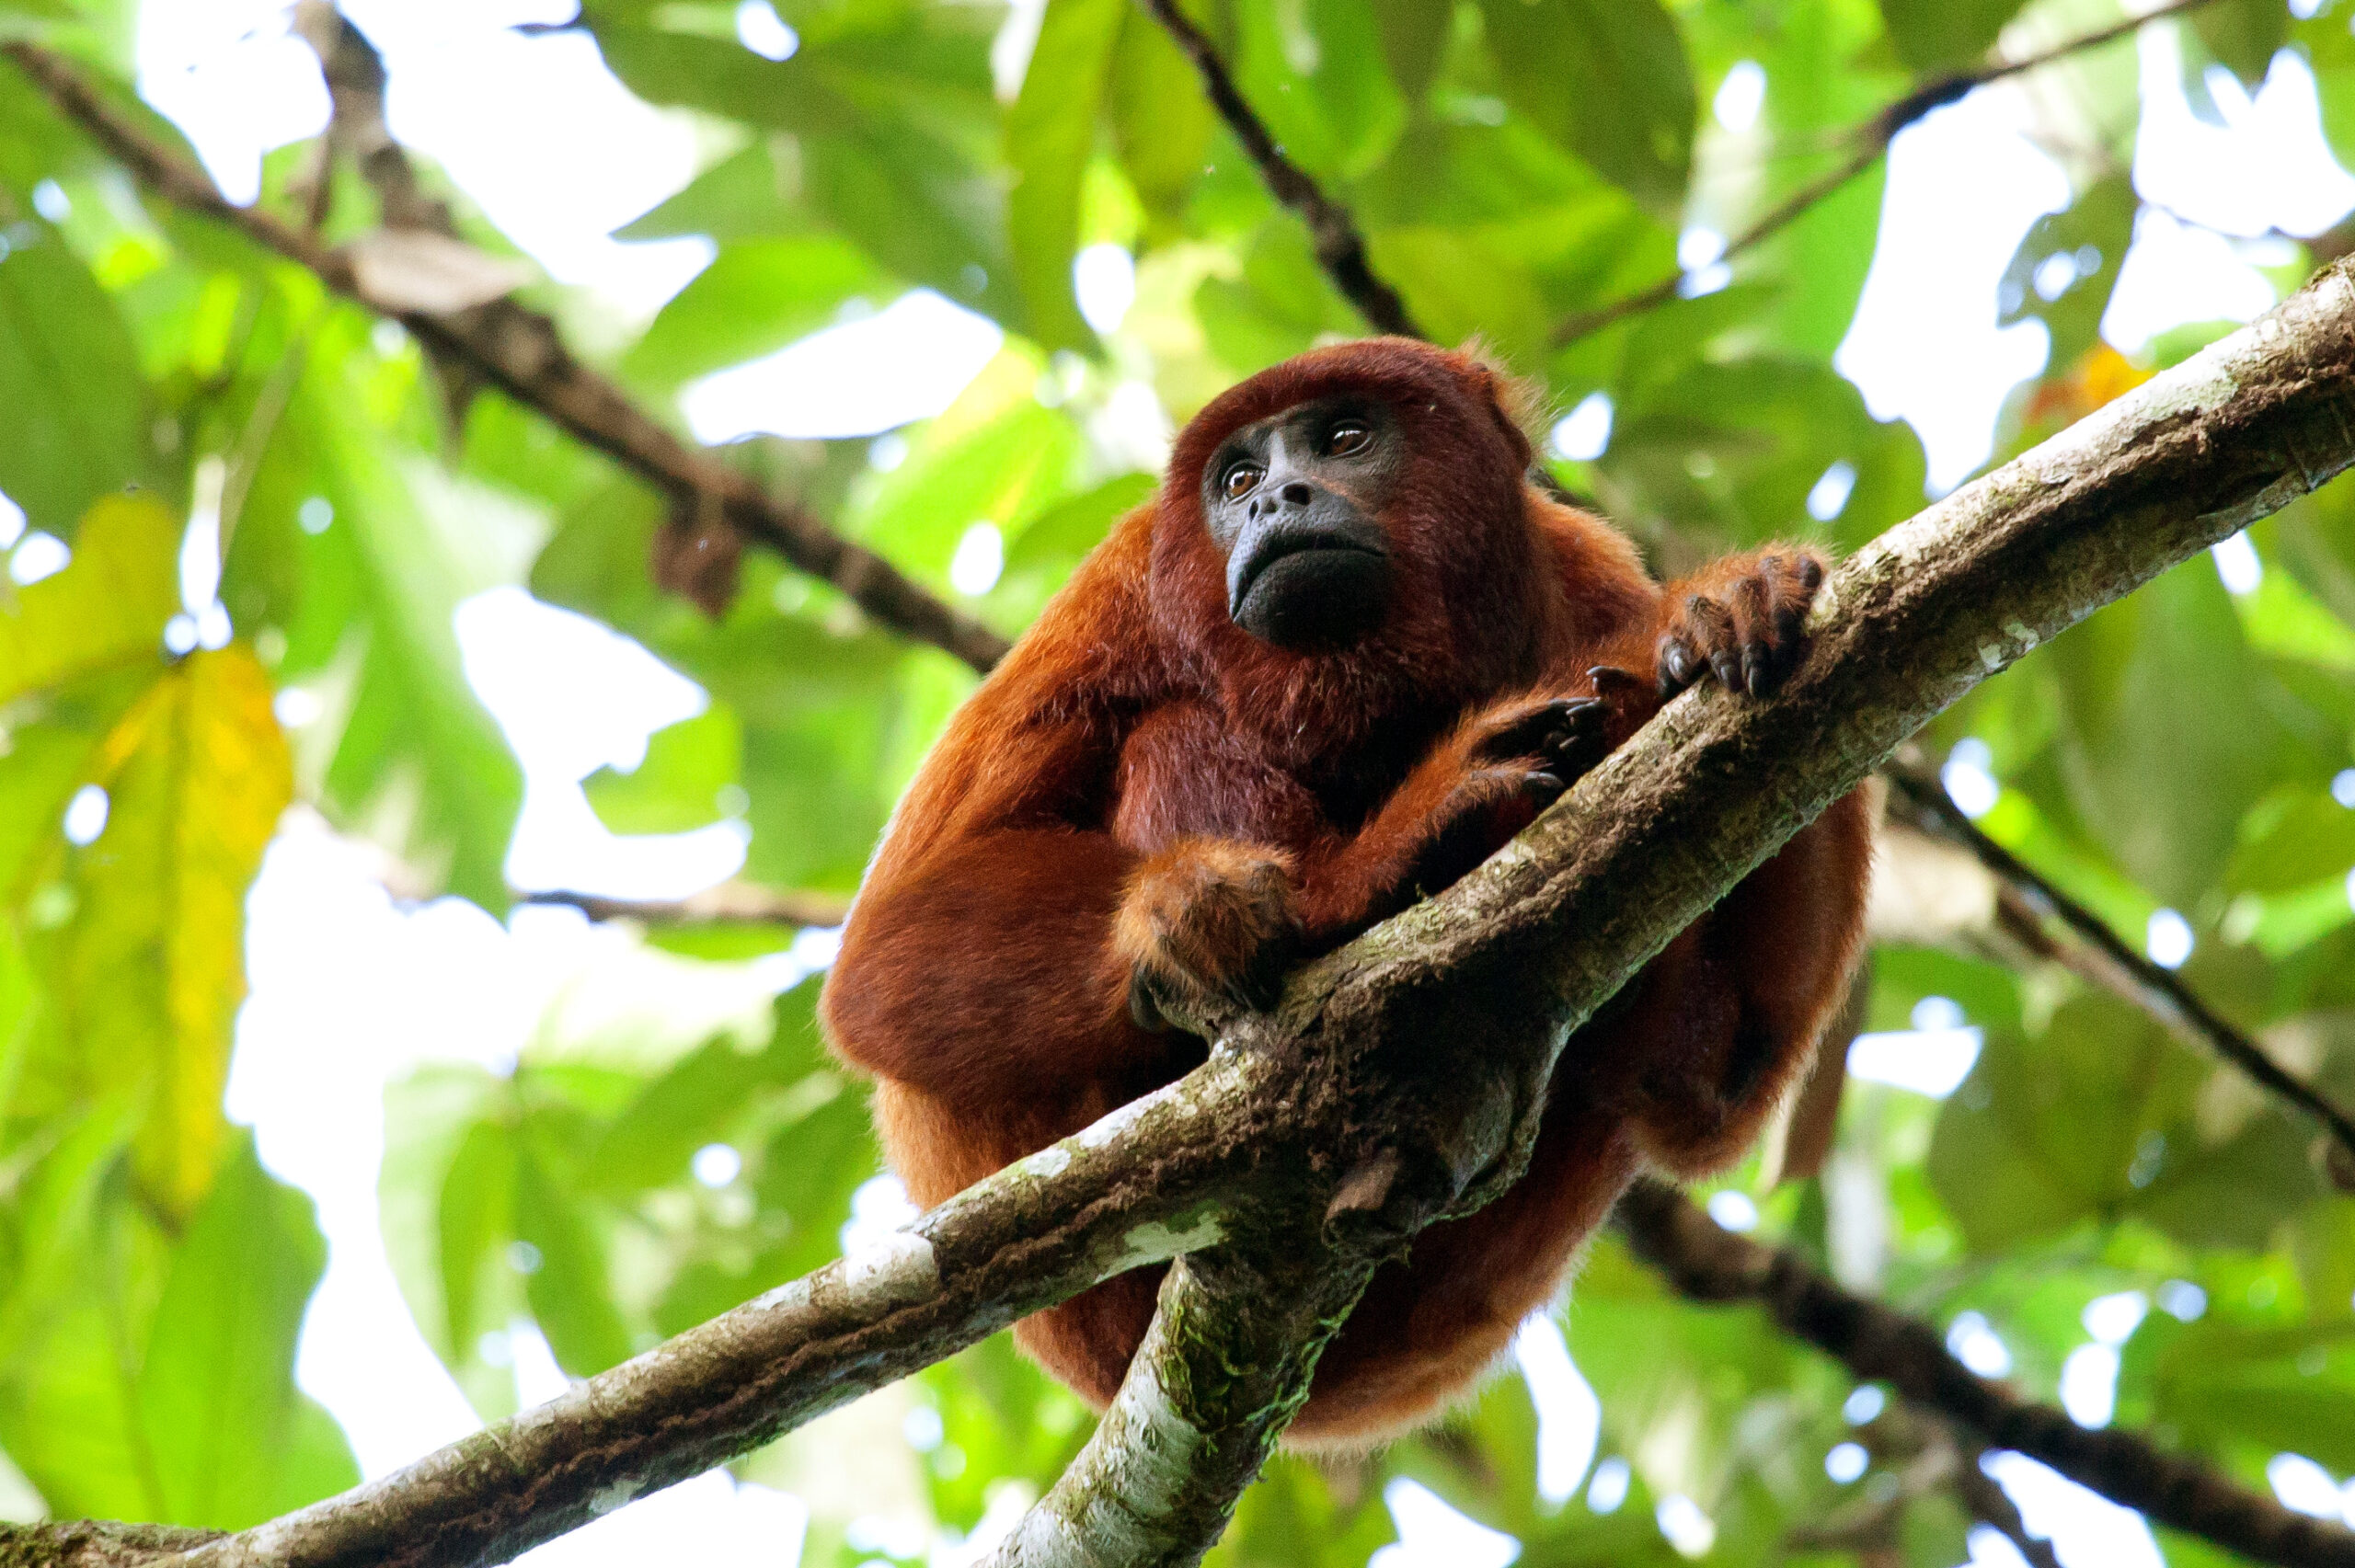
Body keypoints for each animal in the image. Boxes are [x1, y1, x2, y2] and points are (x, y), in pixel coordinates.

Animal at [820, 337, 1873, 1447]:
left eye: (1345, 437)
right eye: (1236, 479)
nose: (1279, 497)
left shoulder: (1588, 573)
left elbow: (1719, 1089)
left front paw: (1734, 602)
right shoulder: (1118, 593)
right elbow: (878, 966)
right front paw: (1206, 914)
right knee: (1172, 729)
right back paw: (1353, 886)